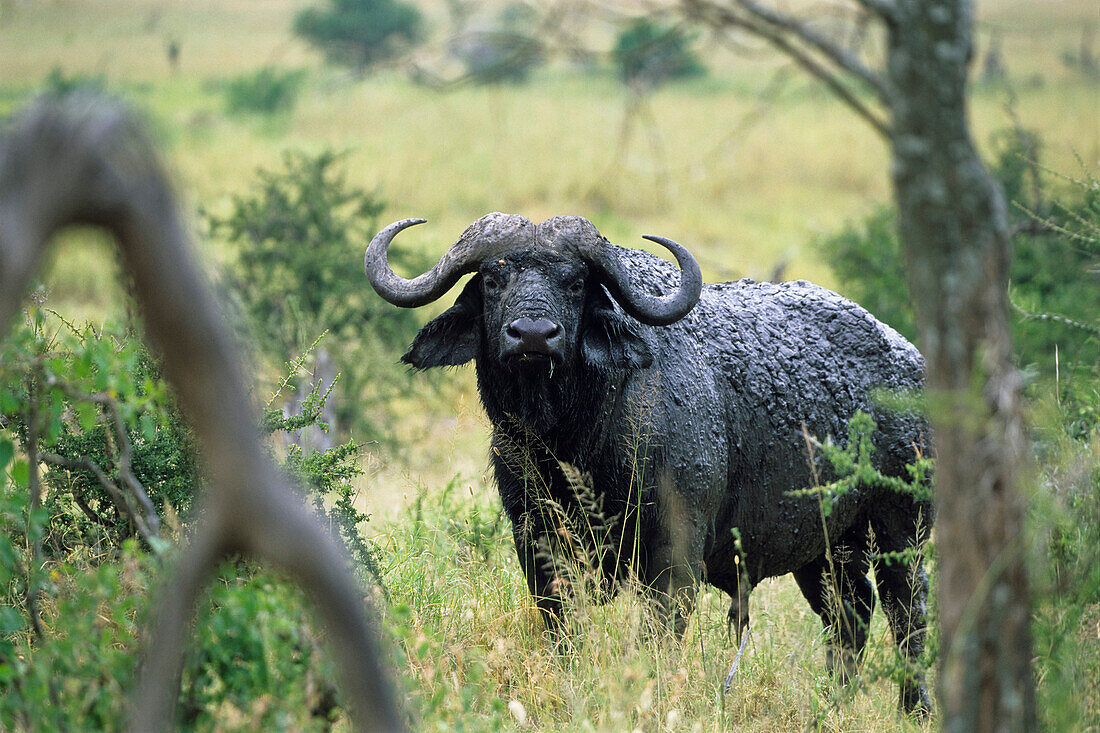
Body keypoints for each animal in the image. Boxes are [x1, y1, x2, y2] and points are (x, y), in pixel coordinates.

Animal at [365, 210, 932, 708]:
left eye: (575, 282)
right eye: (492, 279)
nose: (532, 335)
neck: (574, 443)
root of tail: (908, 359)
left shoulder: (674, 552)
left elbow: (658, 637)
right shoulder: (536, 541)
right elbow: (562, 631)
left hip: (901, 527)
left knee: (908, 613)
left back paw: (915, 707)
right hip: (825, 546)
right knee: (851, 614)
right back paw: (833, 703)